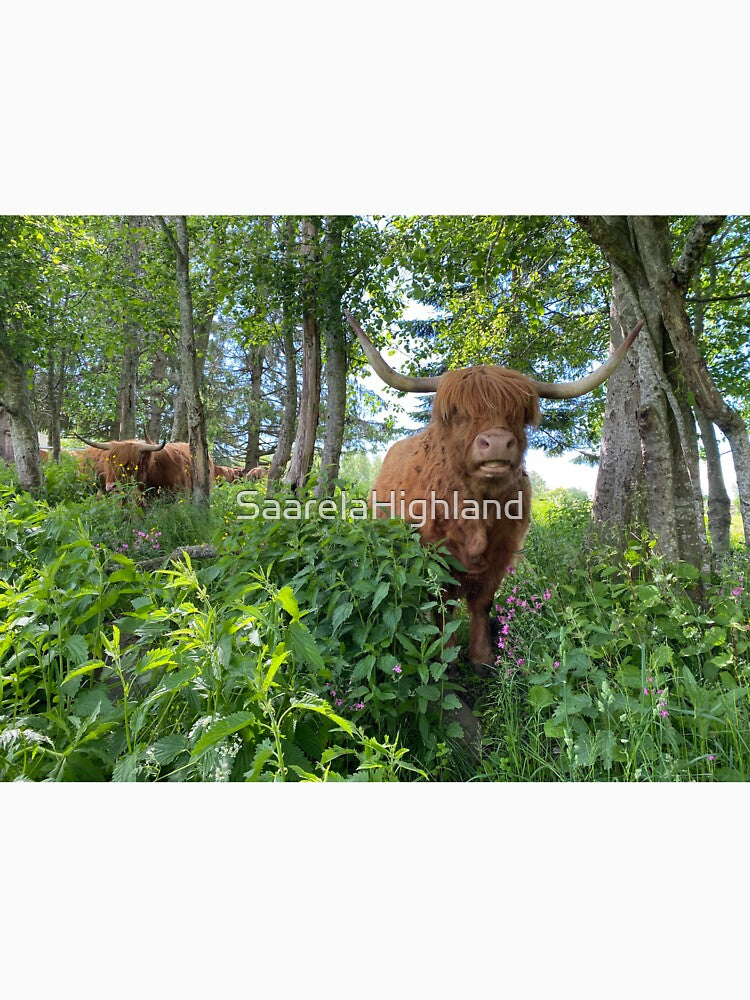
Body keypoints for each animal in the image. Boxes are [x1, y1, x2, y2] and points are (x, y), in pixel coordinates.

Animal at [344, 309, 642, 668]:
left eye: (518, 415)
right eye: (458, 414)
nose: (498, 442)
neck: (476, 507)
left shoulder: (502, 553)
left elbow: (482, 602)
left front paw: (482, 656)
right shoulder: (430, 555)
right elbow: (441, 607)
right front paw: (446, 656)